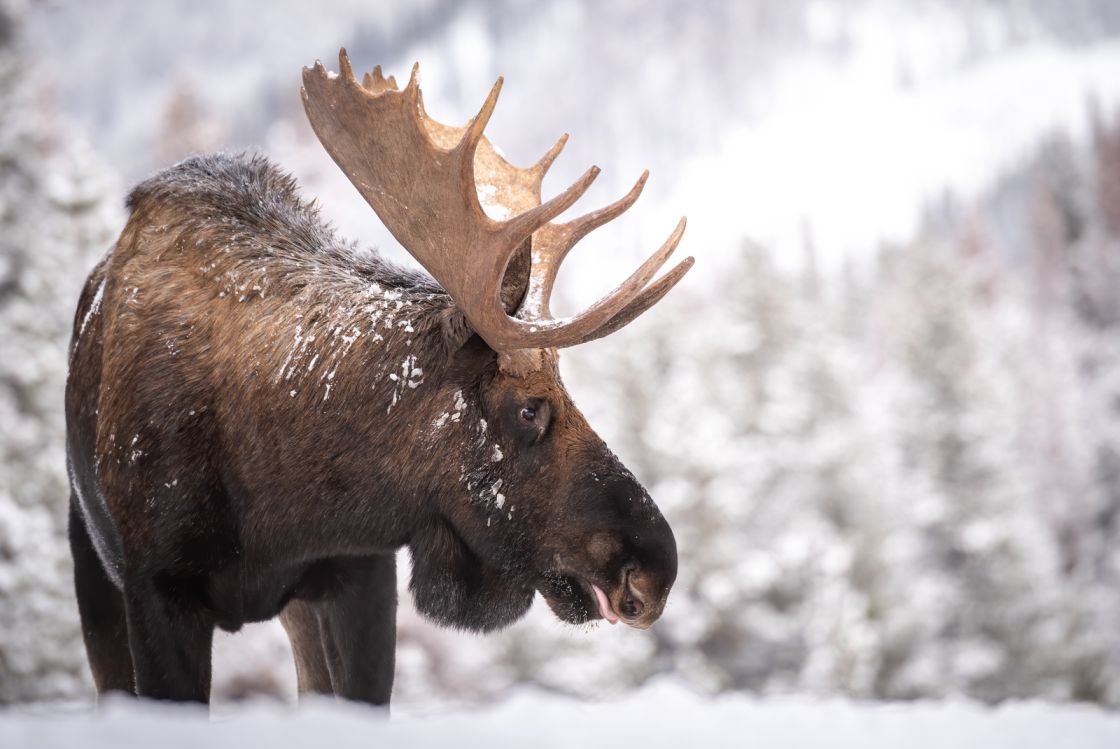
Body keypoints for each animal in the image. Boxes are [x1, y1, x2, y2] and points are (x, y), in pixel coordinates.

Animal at [63, 49, 689, 703]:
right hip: (89, 559)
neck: (279, 501)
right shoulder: (157, 586)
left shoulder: (360, 572)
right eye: (527, 407)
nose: (654, 569)